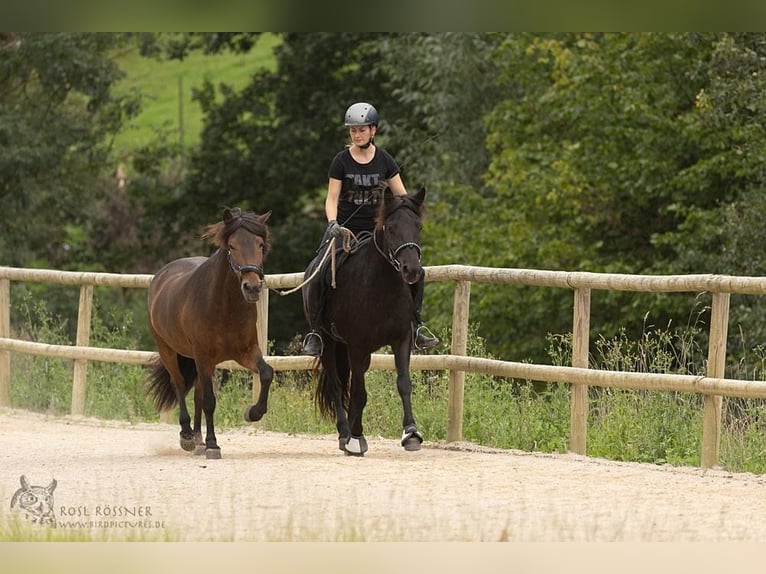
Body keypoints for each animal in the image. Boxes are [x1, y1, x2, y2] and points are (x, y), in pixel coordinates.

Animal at [147, 207, 272, 460]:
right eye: (232, 246)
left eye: (261, 244)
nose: (252, 287)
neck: (225, 306)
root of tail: (161, 275)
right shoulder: (203, 356)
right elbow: (209, 401)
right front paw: (213, 445)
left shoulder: (246, 352)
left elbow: (266, 373)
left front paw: (252, 412)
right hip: (168, 350)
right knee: (179, 384)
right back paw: (187, 436)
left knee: (196, 393)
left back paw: (197, 440)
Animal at [304, 187, 426, 456]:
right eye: (390, 228)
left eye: (419, 226)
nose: (412, 270)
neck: (380, 285)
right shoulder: (358, 346)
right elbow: (359, 392)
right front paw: (356, 438)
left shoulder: (401, 339)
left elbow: (404, 383)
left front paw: (411, 433)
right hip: (328, 341)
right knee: (337, 385)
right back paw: (344, 433)